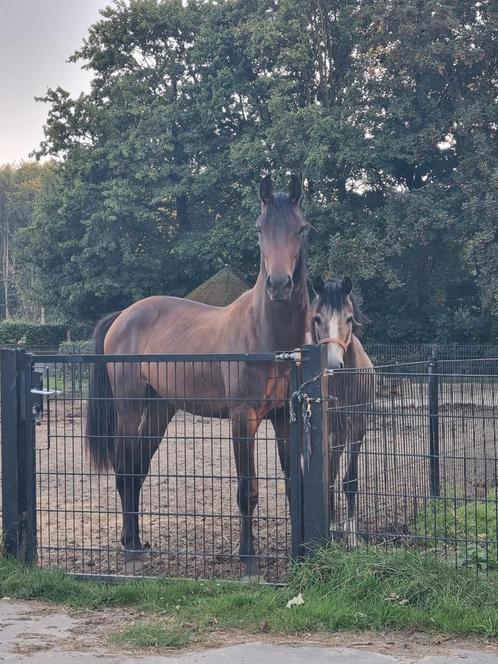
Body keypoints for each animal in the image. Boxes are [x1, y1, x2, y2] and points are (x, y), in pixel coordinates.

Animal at [87, 176, 310, 576]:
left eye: (301, 228)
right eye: (259, 229)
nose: (279, 284)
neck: (265, 336)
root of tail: (123, 316)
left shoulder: (285, 418)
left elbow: (291, 484)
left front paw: (298, 553)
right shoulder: (243, 419)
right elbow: (247, 489)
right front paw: (249, 560)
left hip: (160, 410)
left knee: (138, 470)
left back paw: (137, 542)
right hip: (129, 408)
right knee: (125, 469)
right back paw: (130, 551)